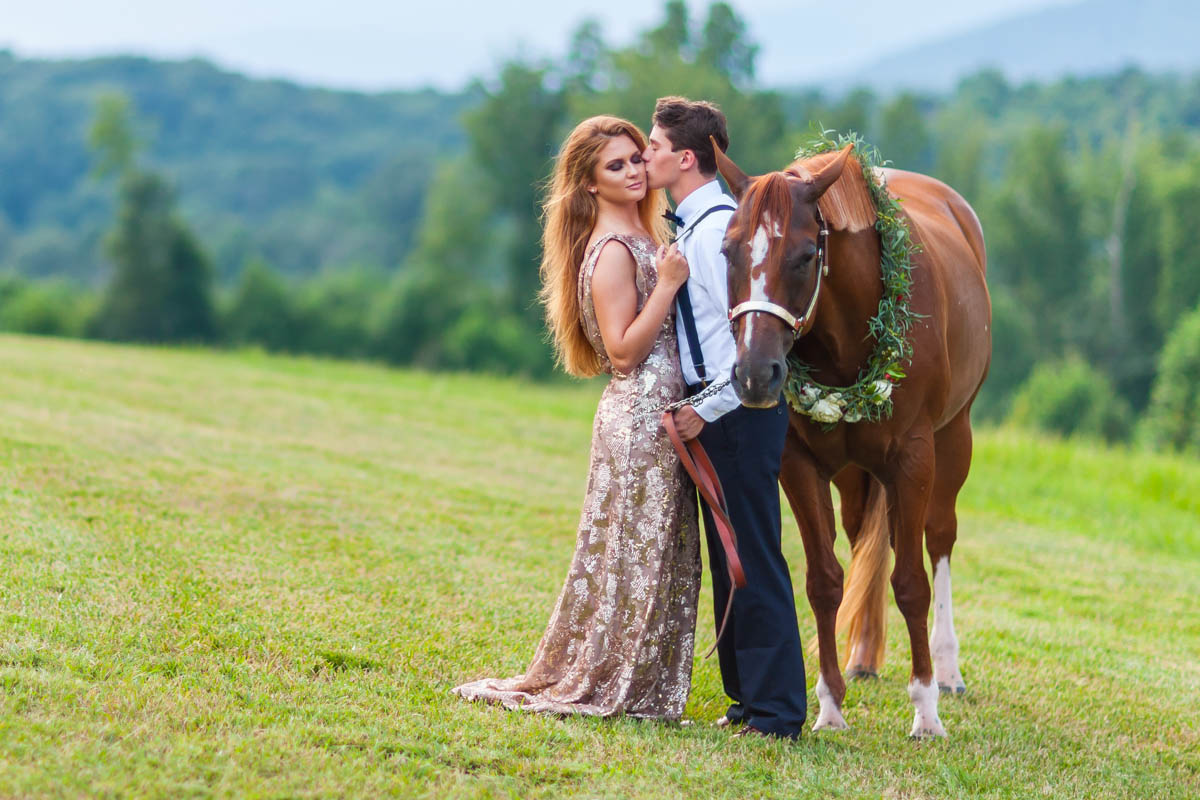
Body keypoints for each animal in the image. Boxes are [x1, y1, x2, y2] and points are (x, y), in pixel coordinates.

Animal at [715, 142, 988, 738]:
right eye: (727, 250)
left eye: (804, 256)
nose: (755, 374)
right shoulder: (800, 464)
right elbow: (825, 579)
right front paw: (830, 704)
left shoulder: (914, 459)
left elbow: (912, 582)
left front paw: (925, 708)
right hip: (855, 475)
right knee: (869, 537)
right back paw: (863, 655)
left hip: (954, 441)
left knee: (939, 540)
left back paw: (947, 669)